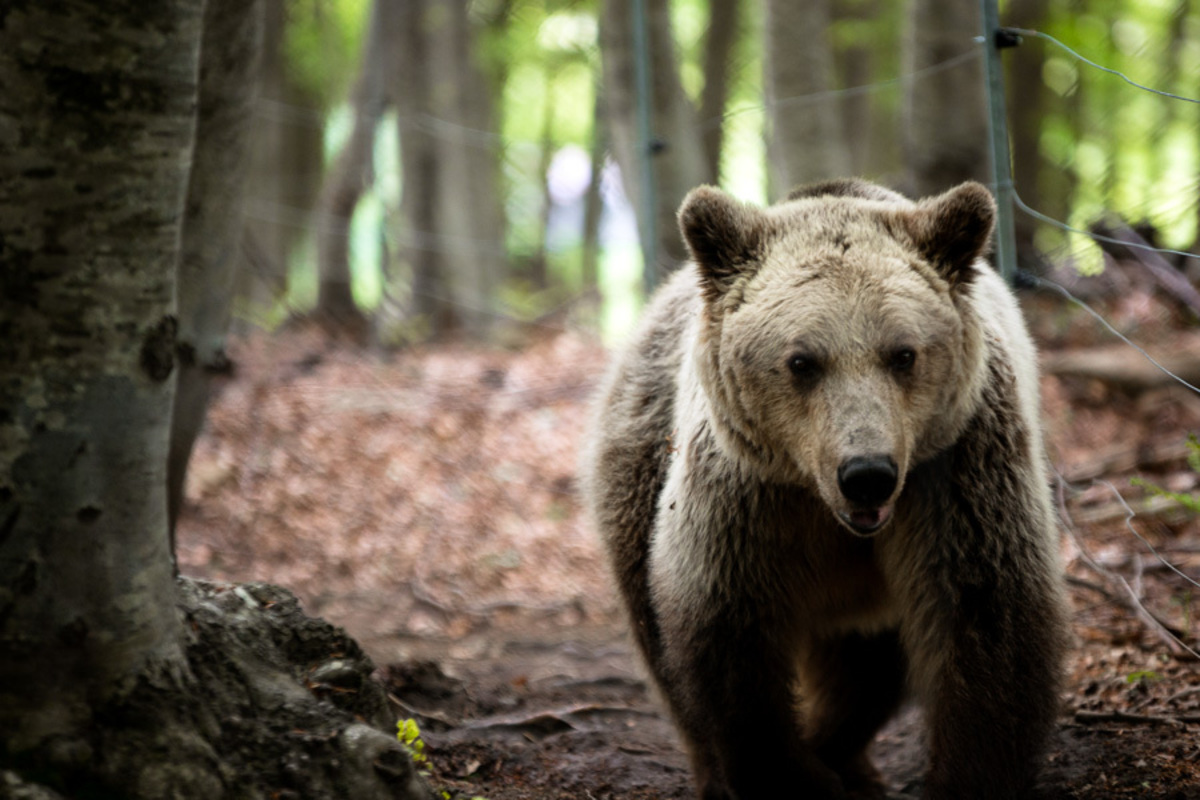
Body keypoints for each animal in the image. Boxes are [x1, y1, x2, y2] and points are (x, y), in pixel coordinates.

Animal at [580, 179, 1070, 800]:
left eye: (903, 354)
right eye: (801, 361)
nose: (867, 473)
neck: (823, 506)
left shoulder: (956, 470)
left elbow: (987, 620)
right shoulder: (746, 496)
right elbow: (729, 638)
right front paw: (786, 774)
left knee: (867, 670)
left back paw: (848, 761)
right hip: (642, 456)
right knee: (657, 637)